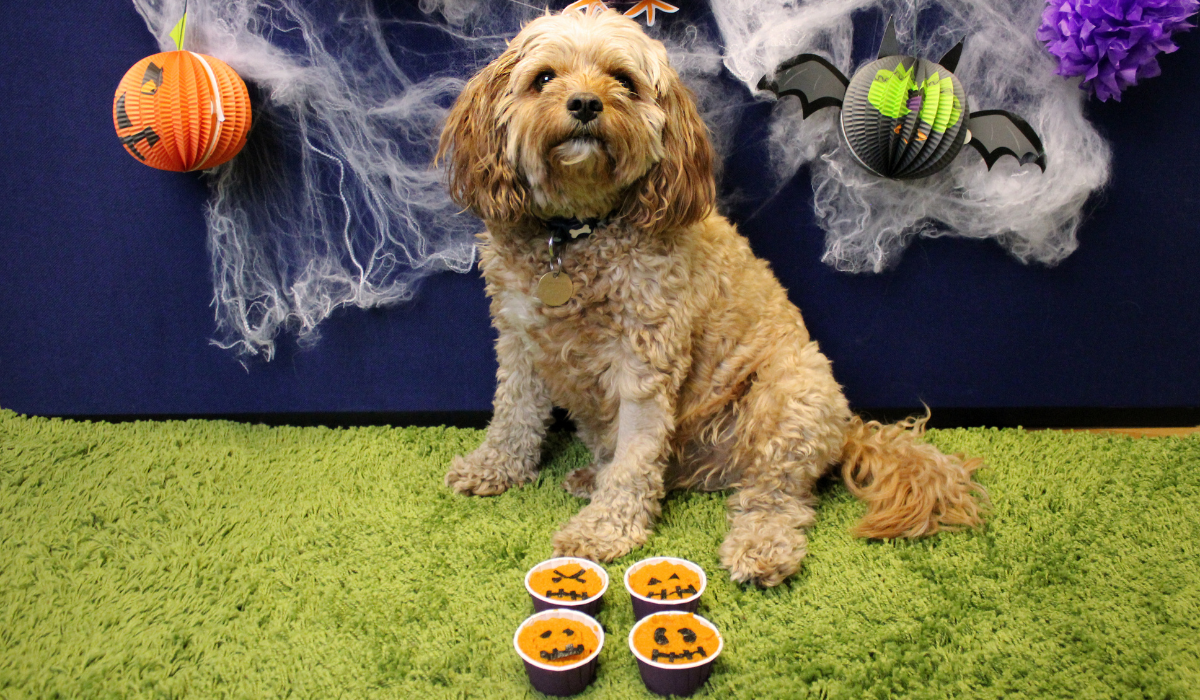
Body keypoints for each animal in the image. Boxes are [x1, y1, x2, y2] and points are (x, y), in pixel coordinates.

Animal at [436, 6, 988, 585]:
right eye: (544, 78)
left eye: (623, 81)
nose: (585, 103)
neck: (577, 234)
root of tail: (849, 428)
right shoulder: (519, 338)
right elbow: (513, 414)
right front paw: (493, 468)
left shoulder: (645, 359)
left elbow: (636, 455)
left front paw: (605, 530)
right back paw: (592, 477)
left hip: (789, 397)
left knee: (777, 497)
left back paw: (761, 546)